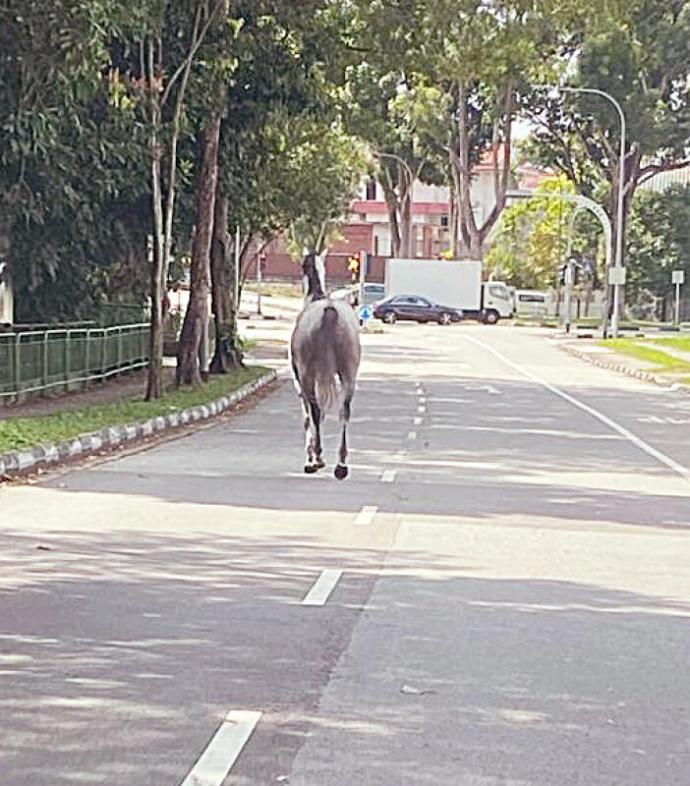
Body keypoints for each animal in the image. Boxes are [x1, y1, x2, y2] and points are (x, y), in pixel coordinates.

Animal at [288, 254, 360, 480]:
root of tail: (329, 311)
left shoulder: (300, 380)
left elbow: (307, 416)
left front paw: (311, 456)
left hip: (307, 375)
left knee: (315, 410)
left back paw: (316, 459)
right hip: (349, 373)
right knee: (345, 409)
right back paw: (341, 464)